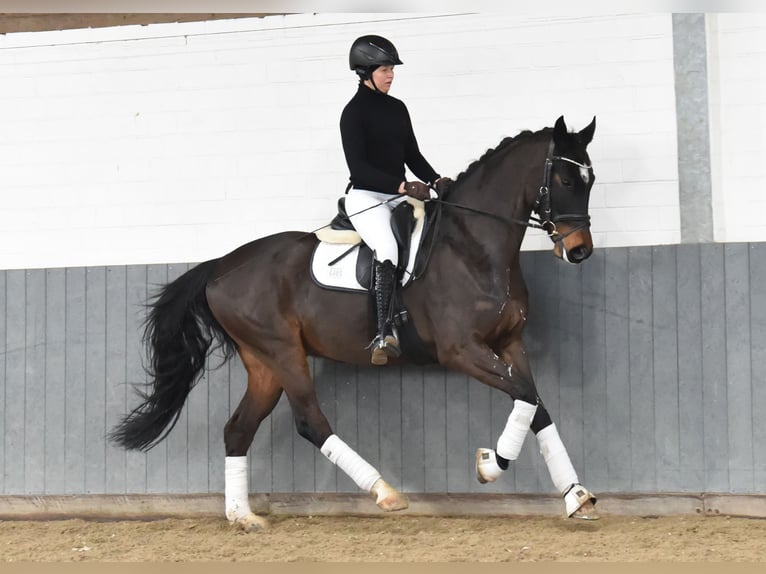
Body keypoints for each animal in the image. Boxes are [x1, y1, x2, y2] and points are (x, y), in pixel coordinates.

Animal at [111, 116, 600, 532]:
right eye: (565, 180)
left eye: (590, 180)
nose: (579, 250)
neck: (473, 247)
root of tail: (219, 267)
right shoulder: (461, 350)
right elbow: (524, 397)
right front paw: (489, 464)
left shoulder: (510, 342)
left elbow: (535, 403)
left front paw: (576, 497)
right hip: (282, 352)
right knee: (310, 421)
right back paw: (385, 493)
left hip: (264, 363)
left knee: (238, 429)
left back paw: (243, 517)